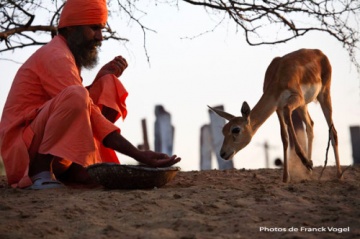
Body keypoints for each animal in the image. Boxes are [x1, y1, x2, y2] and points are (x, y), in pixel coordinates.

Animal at [210, 49, 342, 183]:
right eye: (223, 130)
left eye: (236, 129)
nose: (223, 153)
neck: (279, 75)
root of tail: (319, 52)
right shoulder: (278, 108)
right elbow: (284, 137)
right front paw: (286, 177)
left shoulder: (295, 99)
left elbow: (288, 116)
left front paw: (306, 162)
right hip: (303, 105)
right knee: (310, 125)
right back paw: (308, 172)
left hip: (323, 94)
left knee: (333, 131)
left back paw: (338, 174)